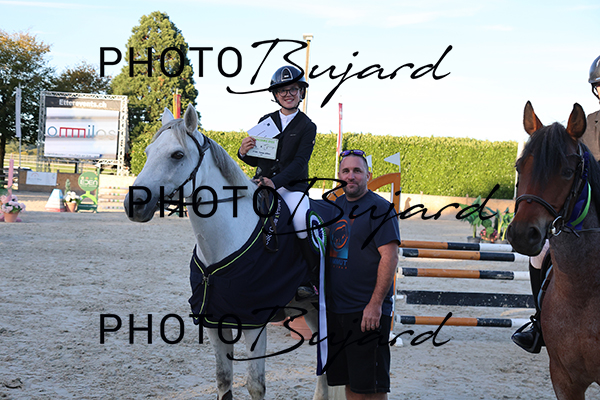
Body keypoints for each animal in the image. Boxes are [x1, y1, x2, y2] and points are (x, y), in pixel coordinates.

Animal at [124, 104, 328, 400]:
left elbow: (255, 384)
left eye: (177, 155)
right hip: (312, 309)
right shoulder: (213, 319)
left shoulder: (254, 323)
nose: (133, 204)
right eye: (148, 152)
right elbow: (223, 379)